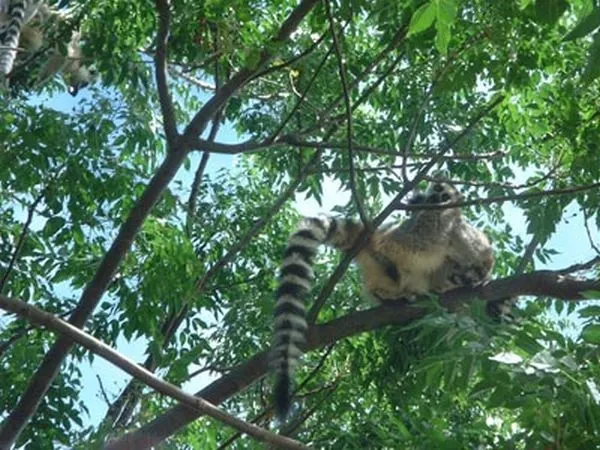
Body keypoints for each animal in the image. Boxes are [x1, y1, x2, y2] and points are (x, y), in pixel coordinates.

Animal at [270, 181, 495, 420]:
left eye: (444, 194)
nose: (436, 200)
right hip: (412, 241)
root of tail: (377, 237)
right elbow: (479, 250)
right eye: (436, 193)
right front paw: (480, 273)